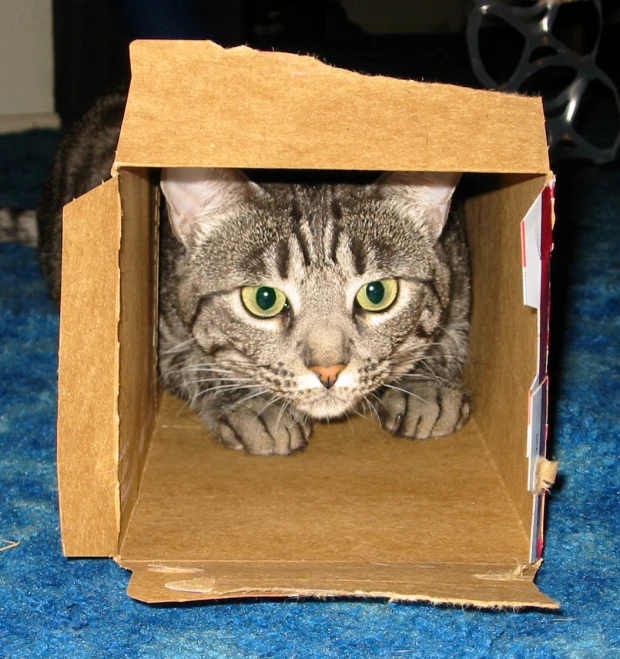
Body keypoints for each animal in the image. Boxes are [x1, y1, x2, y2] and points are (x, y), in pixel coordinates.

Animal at [32, 91, 470, 454]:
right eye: (264, 299)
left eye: (377, 293)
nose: (328, 371)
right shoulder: (162, 339)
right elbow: (201, 363)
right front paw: (257, 406)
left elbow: (442, 341)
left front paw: (425, 387)